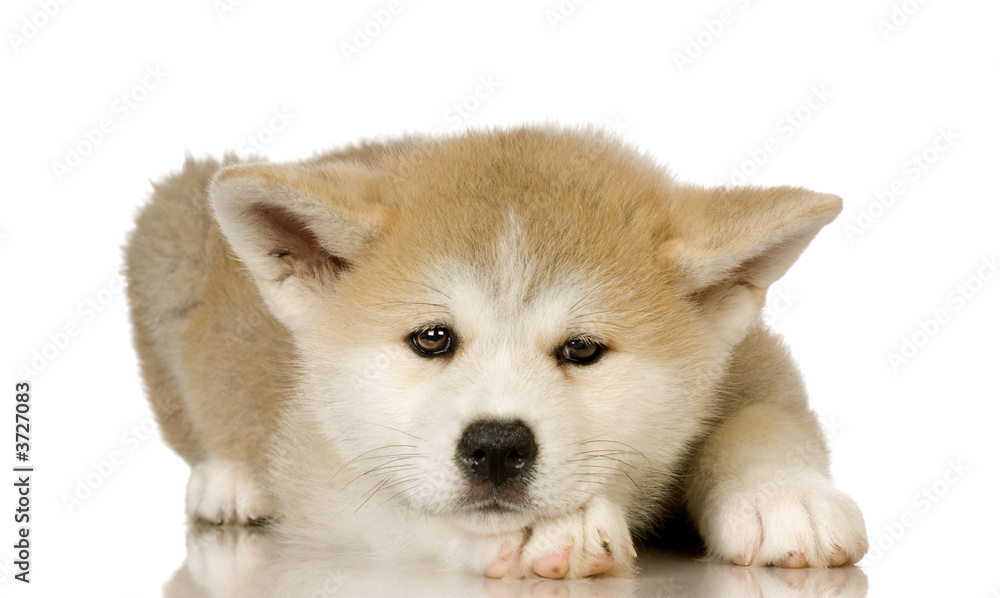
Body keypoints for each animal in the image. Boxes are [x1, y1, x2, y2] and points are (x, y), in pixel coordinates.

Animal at [125, 126, 864, 580]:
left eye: (581, 349)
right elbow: (395, 509)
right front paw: (533, 532)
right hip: (170, 229)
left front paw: (786, 496)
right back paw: (229, 478)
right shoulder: (318, 470)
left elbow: (763, 419)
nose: (497, 447)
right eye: (432, 338)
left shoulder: (748, 355)